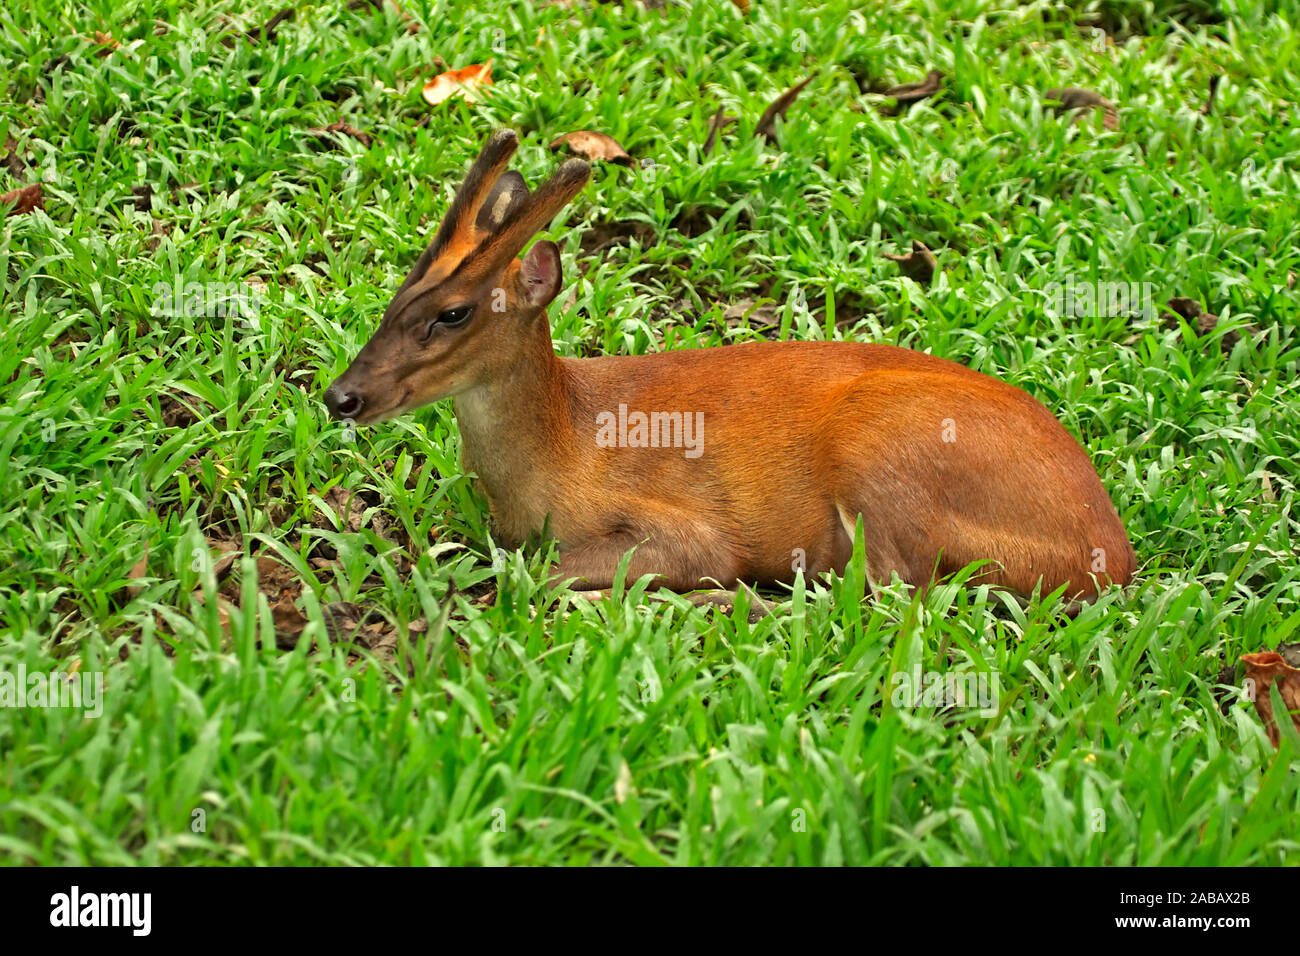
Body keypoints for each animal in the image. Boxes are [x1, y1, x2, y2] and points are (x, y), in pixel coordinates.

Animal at [327, 128, 1138, 606]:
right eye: (397, 293)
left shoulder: (688, 526)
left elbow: (543, 571)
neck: (564, 442)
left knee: (884, 597)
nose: (342, 397)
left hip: (881, 445)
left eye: (453, 313)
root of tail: (1112, 559)